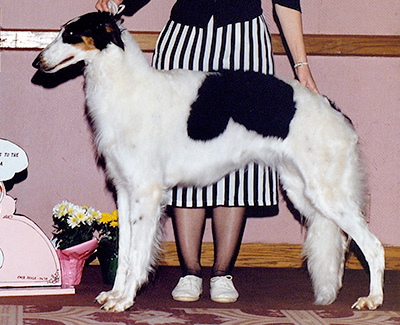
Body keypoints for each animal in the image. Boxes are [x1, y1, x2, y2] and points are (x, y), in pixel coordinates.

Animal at [33, 12, 384, 312]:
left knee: (373, 245)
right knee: (341, 242)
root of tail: (334, 111)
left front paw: (125, 300)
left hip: (325, 192)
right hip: (303, 191)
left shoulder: (147, 192)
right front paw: (114, 294)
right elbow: (124, 254)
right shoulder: (124, 190)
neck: (127, 86)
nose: (37, 62)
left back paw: (373, 299)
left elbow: (136, 254)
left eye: (71, 34)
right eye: (63, 31)